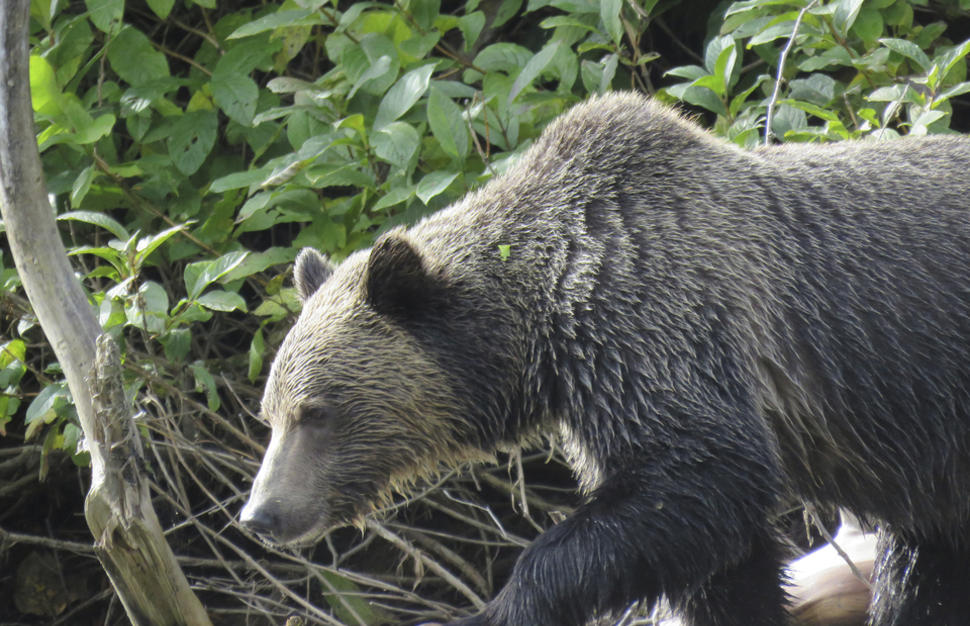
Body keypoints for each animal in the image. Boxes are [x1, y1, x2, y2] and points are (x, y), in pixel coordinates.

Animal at [240, 91, 970, 625]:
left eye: (317, 412)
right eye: (270, 414)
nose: (261, 514)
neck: (541, 327)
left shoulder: (653, 327)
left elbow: (698, 476)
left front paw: (501, 608)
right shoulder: (599, 389)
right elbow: (721, 560)